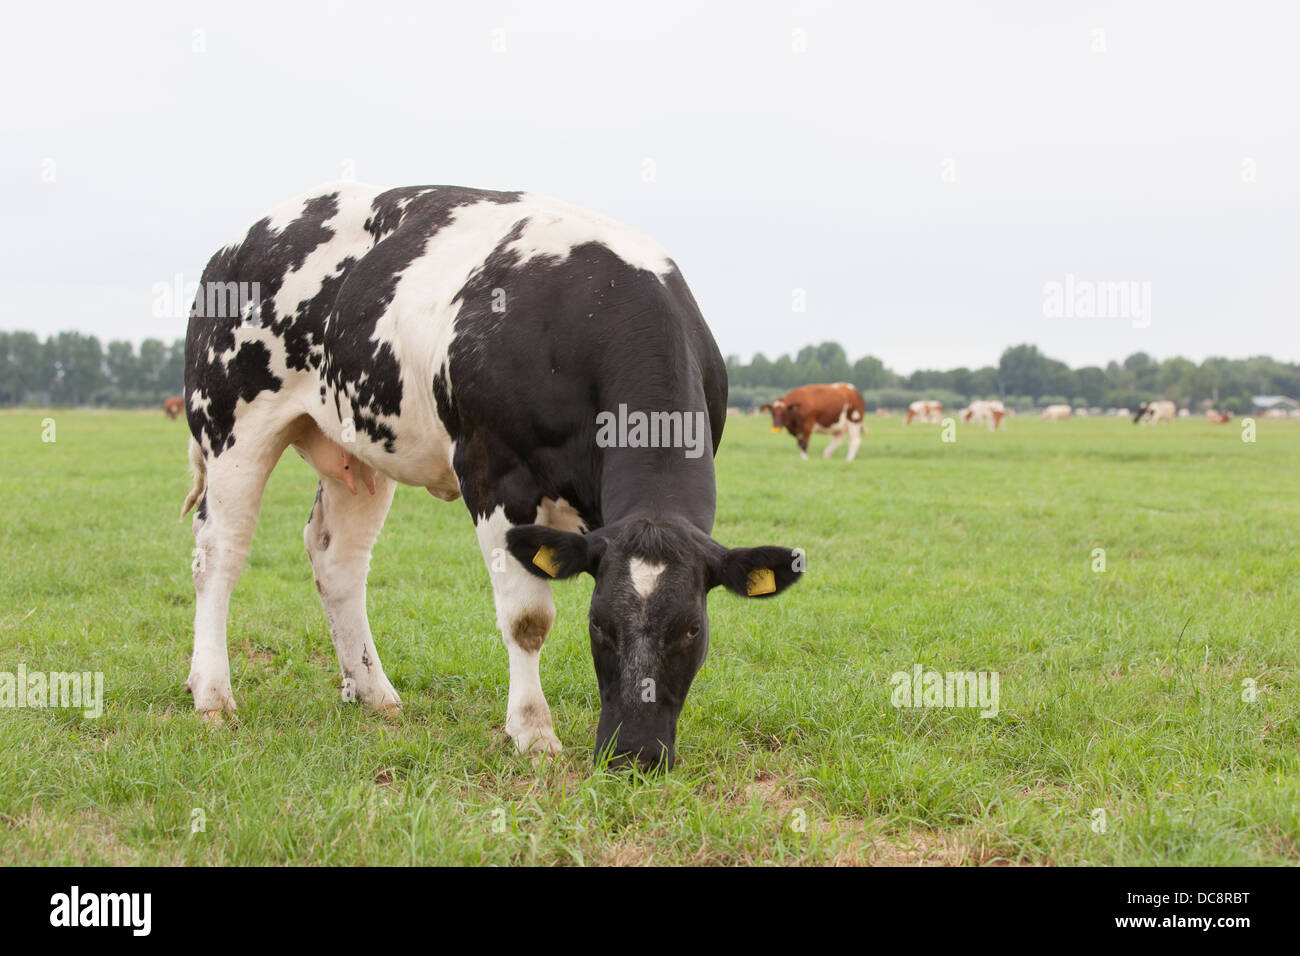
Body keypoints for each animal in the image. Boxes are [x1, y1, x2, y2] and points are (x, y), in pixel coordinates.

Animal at [183, 183, 800, 775]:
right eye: (599, 625)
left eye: (692, 629)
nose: (635, 755)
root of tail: (238, 241)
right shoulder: (495, 475)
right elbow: (528, 619)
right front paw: (532, 732)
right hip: (231, 426)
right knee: (219, 555)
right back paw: (212, 696)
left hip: (360, 445)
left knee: (338, 561)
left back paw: (374, 691)